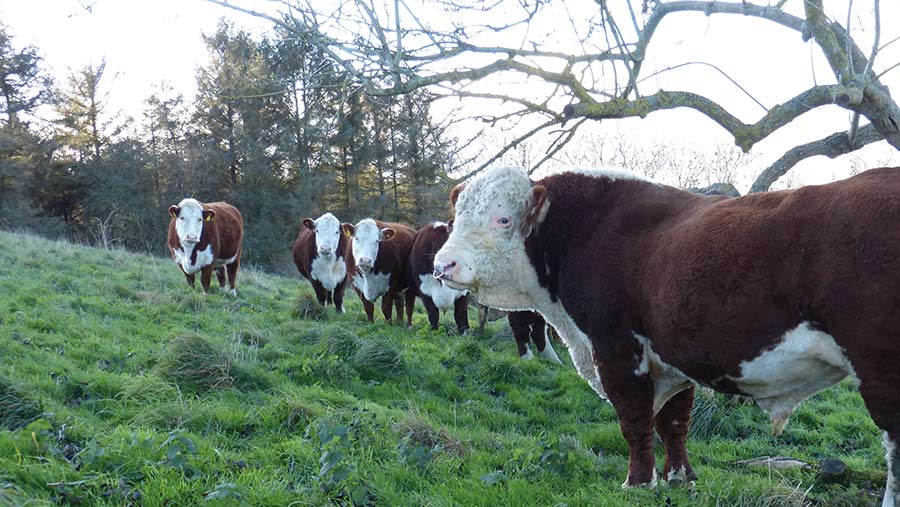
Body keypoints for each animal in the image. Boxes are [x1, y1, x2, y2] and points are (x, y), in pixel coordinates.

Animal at [432, 165, 900, 506]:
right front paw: (680, 477)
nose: (443, 264)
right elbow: (674, 421)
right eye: (456, 219)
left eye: (503, 218)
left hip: (880, 369)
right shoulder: (672, 356)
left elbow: (634, 420)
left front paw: (638, 483)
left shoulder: (618, 349)